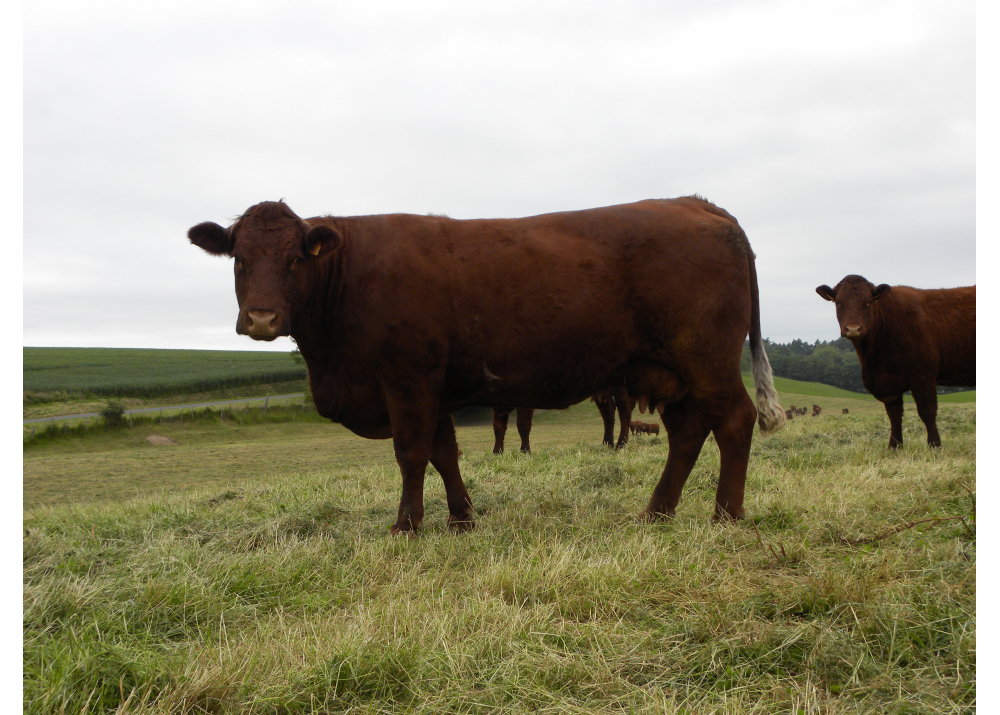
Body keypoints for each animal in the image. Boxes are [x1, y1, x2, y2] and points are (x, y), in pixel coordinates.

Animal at [186, 196, 780, 532]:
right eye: (239, 259)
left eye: (294, 259)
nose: (262, 318)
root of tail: (696, 202)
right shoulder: (436, 387)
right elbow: (444, 454)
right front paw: (462, 517)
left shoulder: (406, 379)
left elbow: (411, 453)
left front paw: (406, 525)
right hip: (671, 372)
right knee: (687, 433)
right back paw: (656, 512)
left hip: (706, 359)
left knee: (733, 422)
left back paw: (726, 516)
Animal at [816, 274, 972, 448]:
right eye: (838, 302)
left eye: (868, 301)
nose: (853, 329)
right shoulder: (889, 383)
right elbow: (894, 415)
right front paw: (894, 446)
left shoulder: (923, 375)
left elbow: (927, 411)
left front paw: (935, 445)